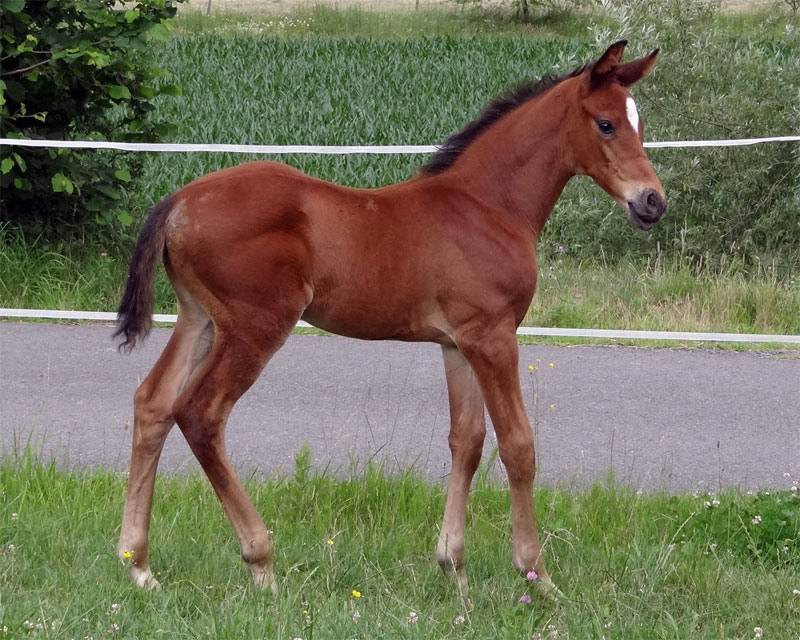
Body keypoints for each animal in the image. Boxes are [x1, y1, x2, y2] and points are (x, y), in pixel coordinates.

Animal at [117, 42, 668, 596]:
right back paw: (261, 563)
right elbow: (518, 445)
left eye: (640, 124)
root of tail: (178, 202)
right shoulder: (493, 337)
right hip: (255, 327)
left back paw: (139, 566)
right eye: (605, 124)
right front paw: (537, 575)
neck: (487, 207)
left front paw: (454, 569)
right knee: (200, 413)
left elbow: (467, 441)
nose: (652, 201)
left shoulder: (458, 343)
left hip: (200, 321)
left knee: (153, 402)